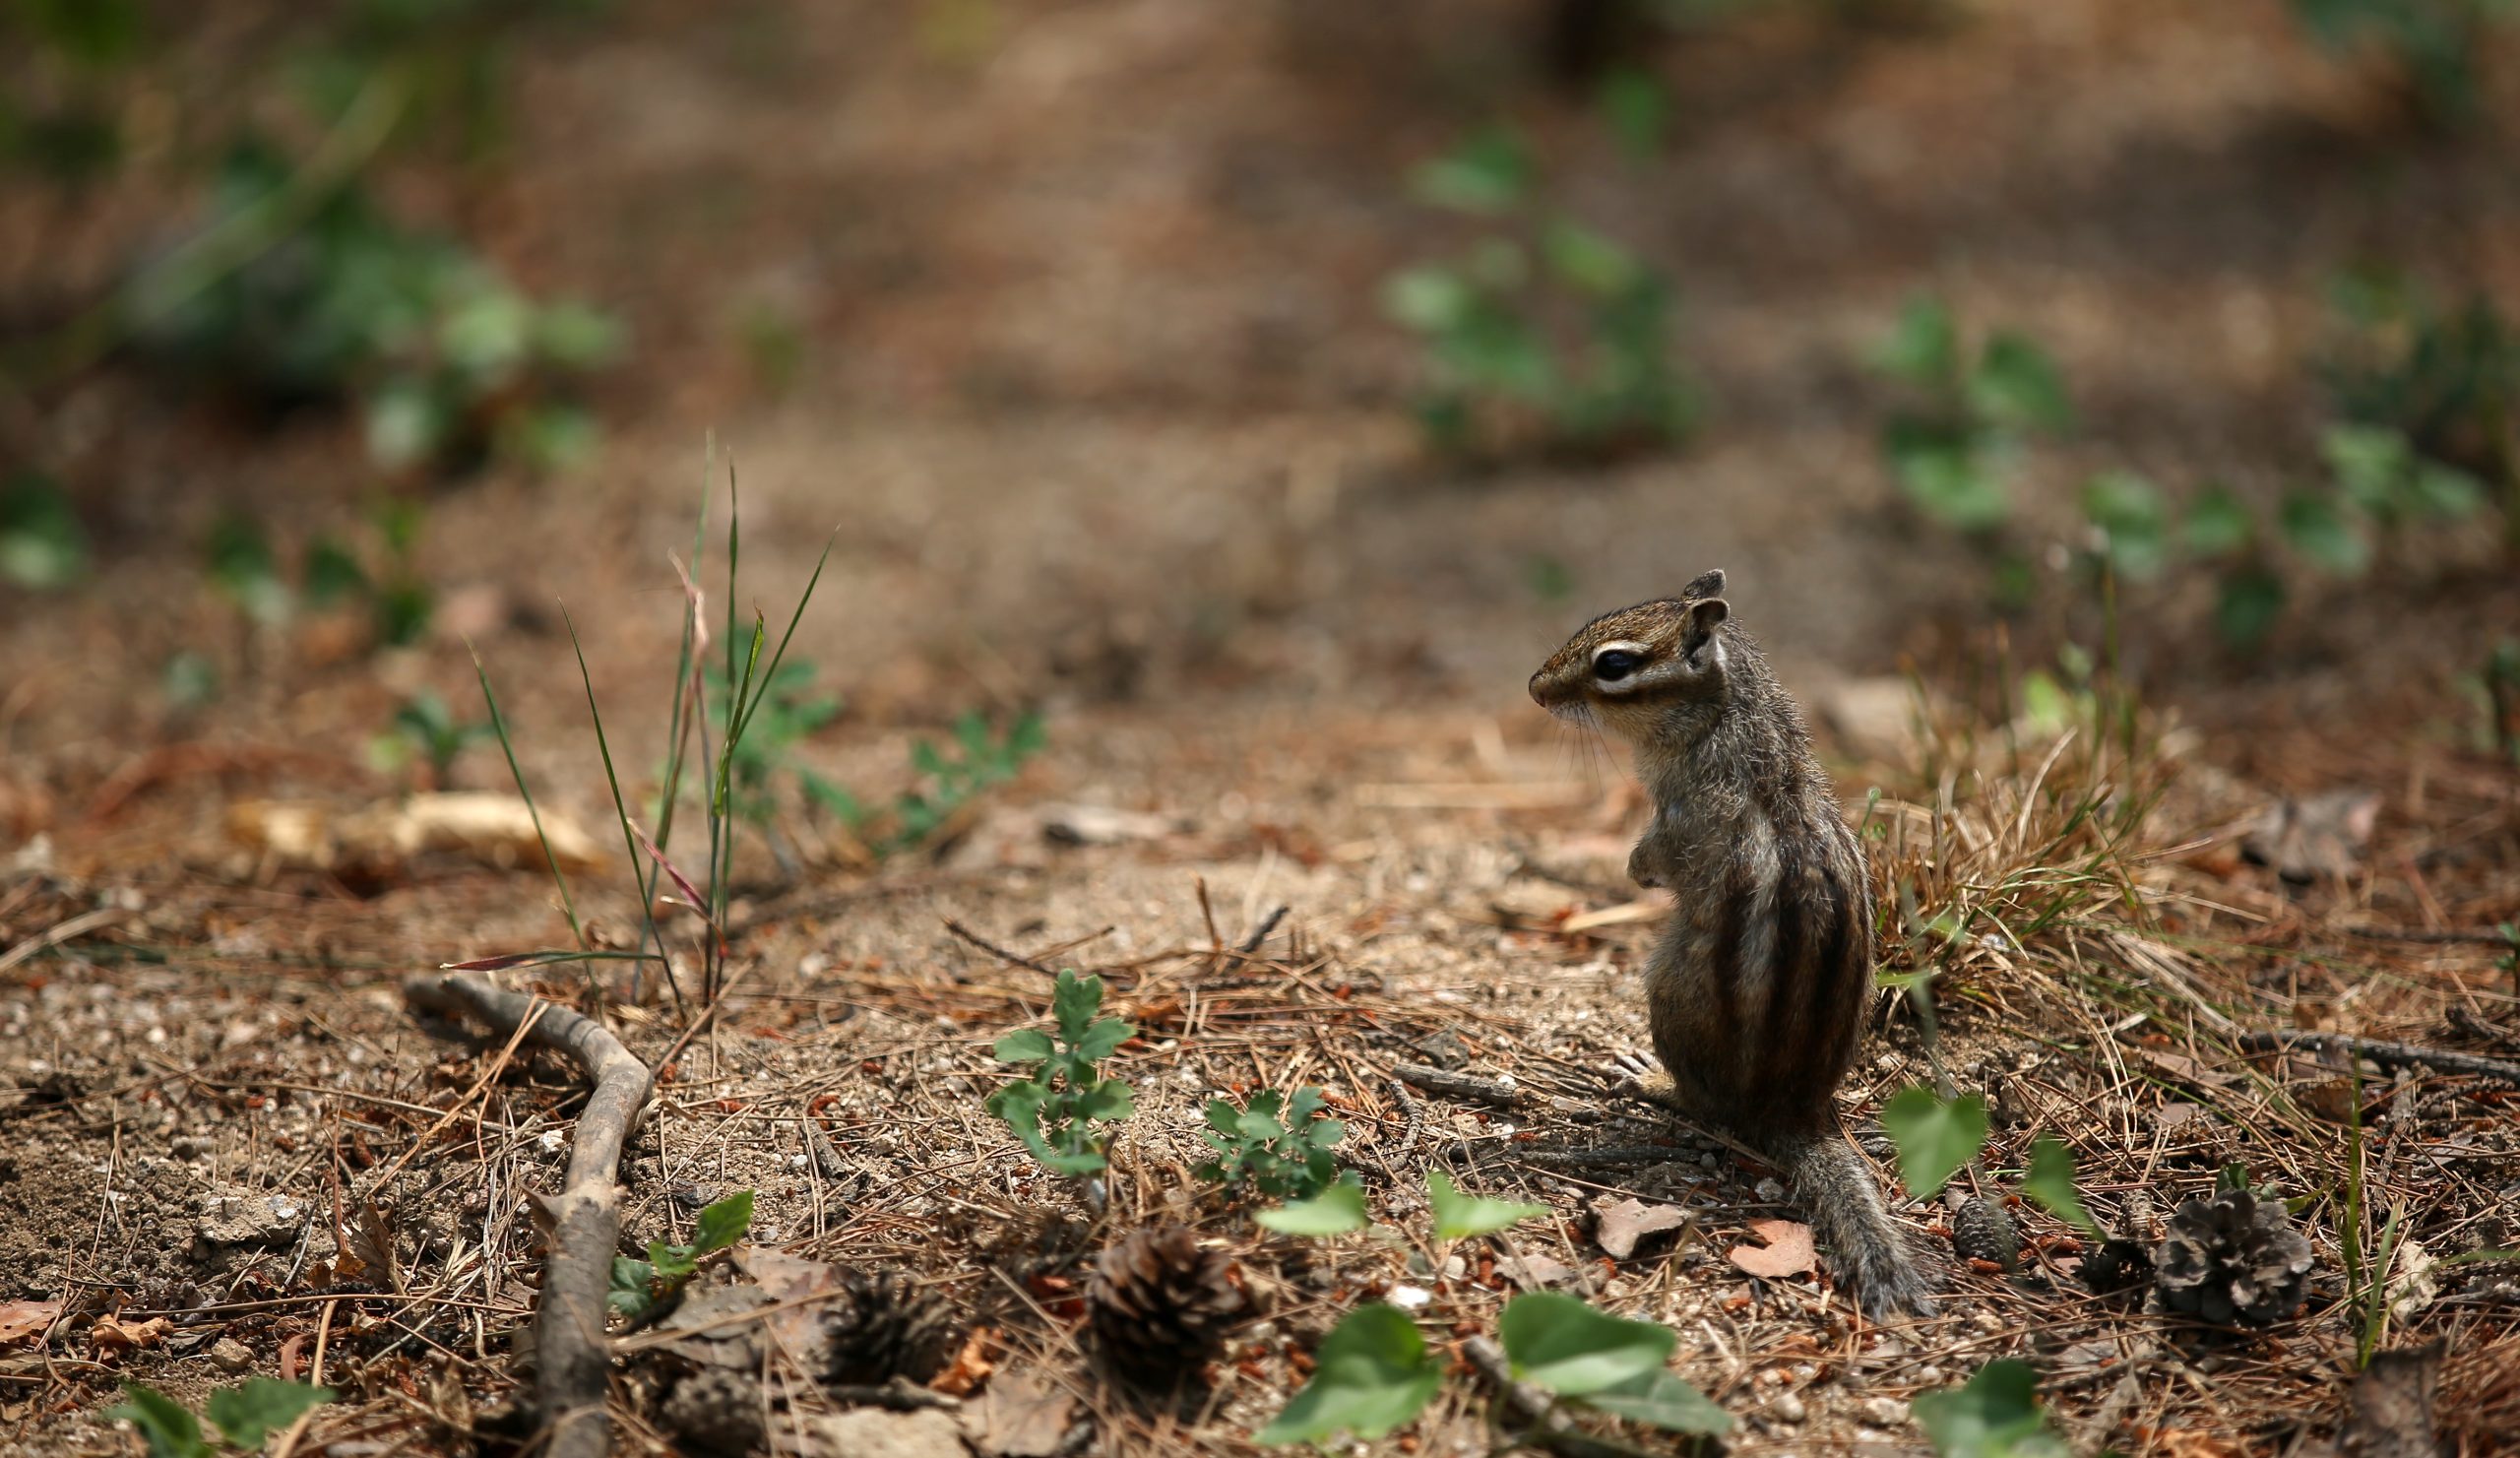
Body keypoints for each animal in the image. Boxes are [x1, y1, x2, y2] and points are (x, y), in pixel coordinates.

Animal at [1529, 568, 1936, 1318]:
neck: (1727, 722)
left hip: (1667, 992)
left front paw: (1635, 868)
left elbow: (1660, 855)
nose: (1537, 690)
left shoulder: (1684, 815)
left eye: (1614, 665)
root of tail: (1793, 1109)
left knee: (1706, 1106)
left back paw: (1652, 1080)